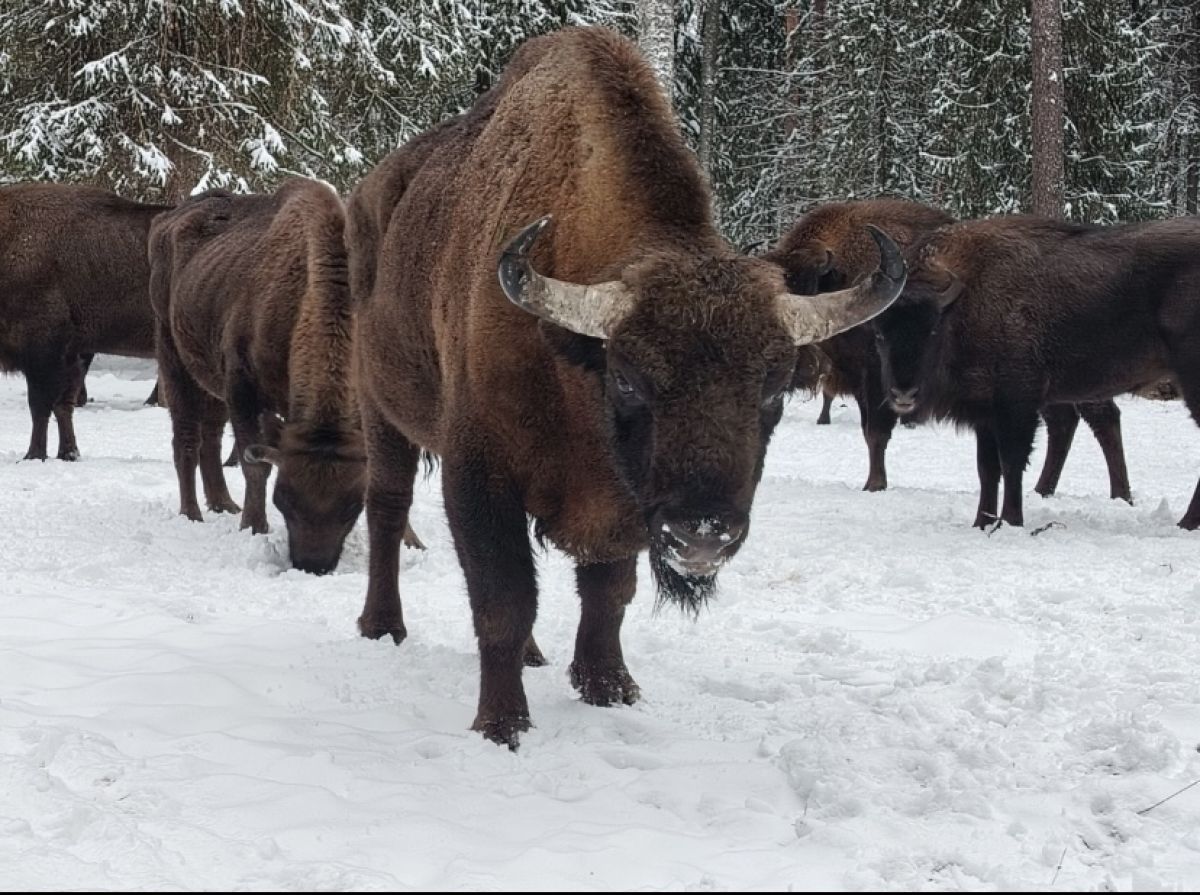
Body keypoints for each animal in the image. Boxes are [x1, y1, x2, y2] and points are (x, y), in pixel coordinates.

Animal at [0, 183, 168, 460]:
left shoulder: (43, 352)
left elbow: (40, 406)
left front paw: (34, 455)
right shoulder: (72, 355)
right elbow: (63, 406)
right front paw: (68, 454)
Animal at [148, 177, 395, 574]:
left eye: (352, 506)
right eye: (285, 499)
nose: (312, 565)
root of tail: (166, 220)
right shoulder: (243, 386)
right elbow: (255, 465)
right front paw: (254, 526)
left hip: (212, 381)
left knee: (210, 437)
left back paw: (224, 504)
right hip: (172, 353)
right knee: (185, 437)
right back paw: (193, 513)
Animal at [347, 27, 907, 749]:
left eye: (774, 389)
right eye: (629, 379)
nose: (703, 535)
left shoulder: (623, 507)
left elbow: (608, 592)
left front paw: (609, 687)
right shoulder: (480, 475)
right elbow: (503, 599)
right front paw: (502, 724)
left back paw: (535, 655)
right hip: (379, 409)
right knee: (386, 510)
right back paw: (383, 626)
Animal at [769, 199, 1133, 502]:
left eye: (804, 285)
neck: (842, 278)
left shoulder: (876, 378)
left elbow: (876, 432)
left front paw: (874, 485)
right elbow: (868, 430)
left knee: (1103, 420)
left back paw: (1119, 496)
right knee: (1065, 423)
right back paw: (1044, 489)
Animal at [870, 213, 1200, 529]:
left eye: (933, 330)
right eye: (880, 334)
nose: (903, 394)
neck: (967, 296)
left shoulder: (1016, 404)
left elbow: (1012, 462)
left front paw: (1011, 521)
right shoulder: (985, 412)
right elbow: (987, 469)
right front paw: (982, 522)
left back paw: (1185, 523)